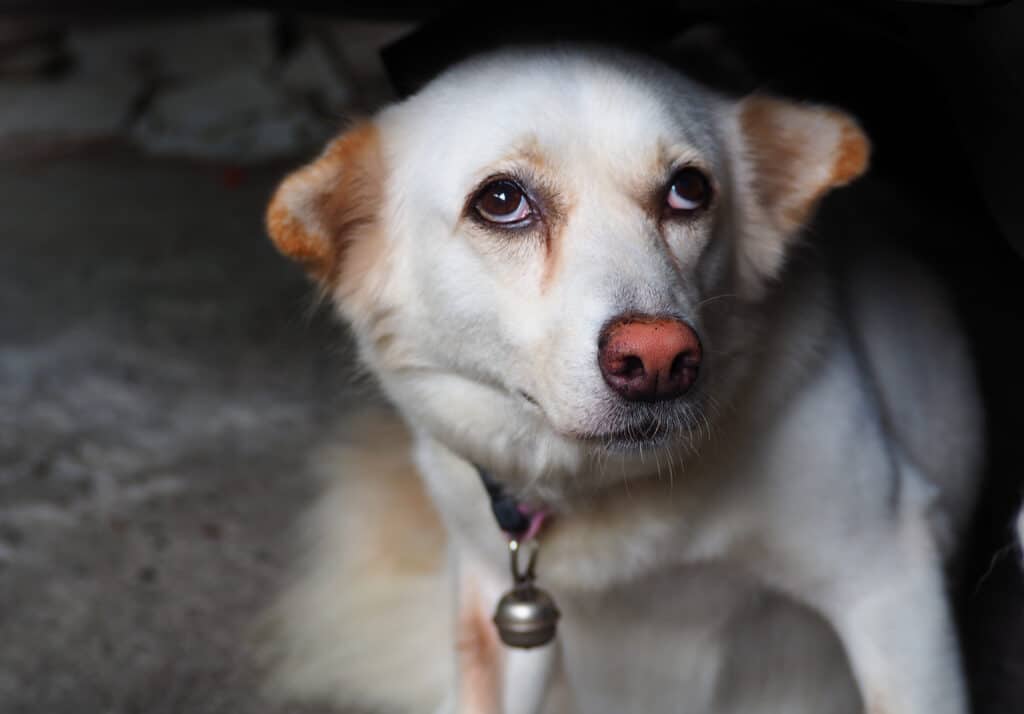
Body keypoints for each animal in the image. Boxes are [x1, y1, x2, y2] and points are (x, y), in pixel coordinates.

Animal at [262, 45, 983, 712]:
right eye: (501, 201)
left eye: (690, 190)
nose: (660, 360)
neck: (611, 492)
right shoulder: (498, 616)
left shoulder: (889, 579)